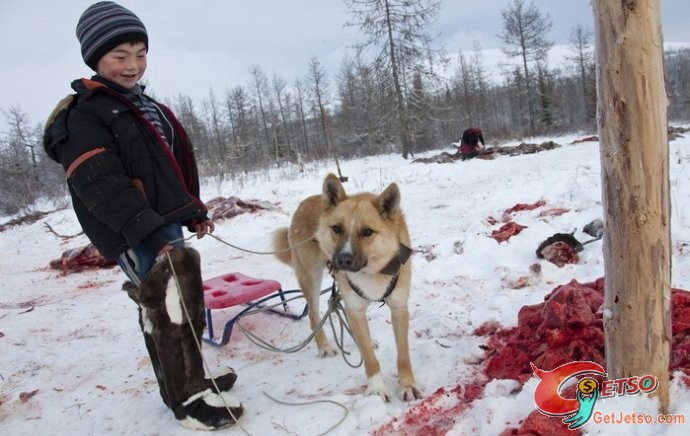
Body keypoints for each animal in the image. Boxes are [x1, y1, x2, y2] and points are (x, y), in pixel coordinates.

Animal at [274, 174, 420, 402]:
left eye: (367, 232)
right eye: (336, 228)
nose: (343, 260)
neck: (372, 271)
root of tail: (305, 202)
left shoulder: (398, 308)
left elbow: (403, 354)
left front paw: (407, 384)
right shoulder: (356, 308)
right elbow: (370, 358)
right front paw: (377, 388)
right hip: (311, 279)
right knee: (314, 316)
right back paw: (325, 346)